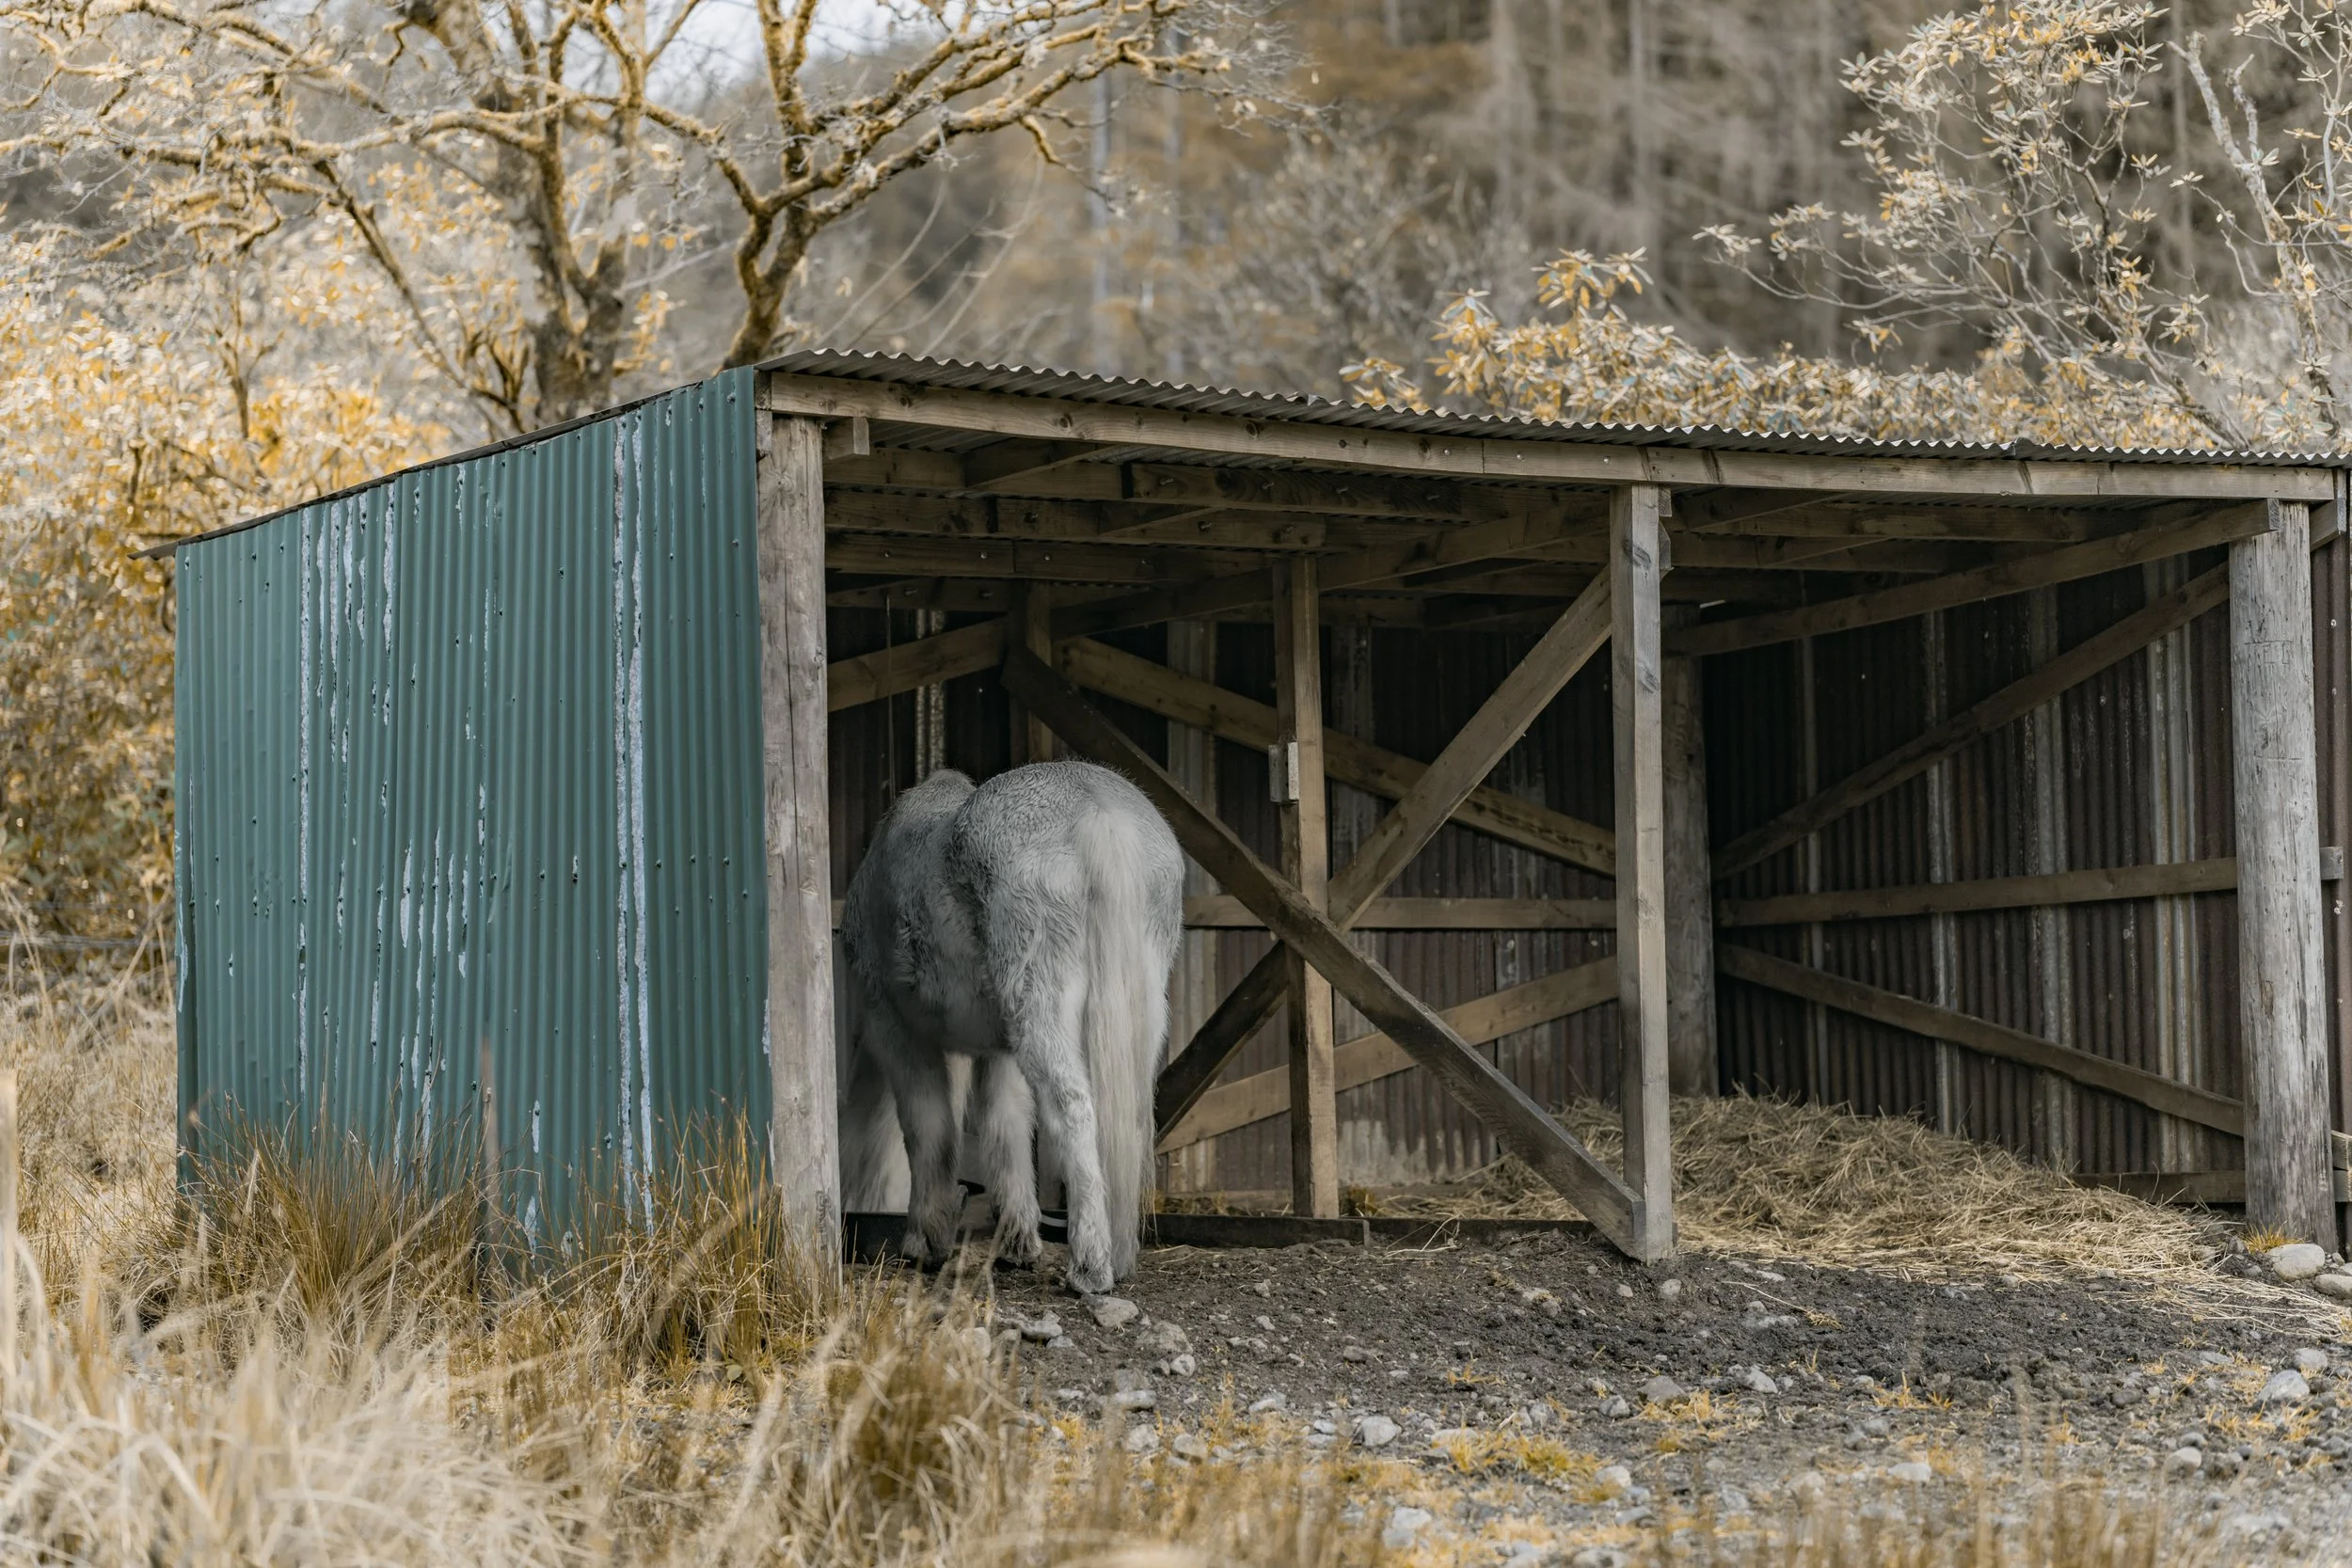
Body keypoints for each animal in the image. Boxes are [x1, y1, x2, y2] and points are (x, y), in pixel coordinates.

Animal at [836, 759, 1184, 1294]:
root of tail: (1099, 811)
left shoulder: (899, 1033)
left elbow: (927, 1130)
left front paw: (924, 1242)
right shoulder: (997, 1051)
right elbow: (1007, 1126)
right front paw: (1018, 1243)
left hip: (1040, 1009)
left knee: (1073, 1109)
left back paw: (1090, 1267)